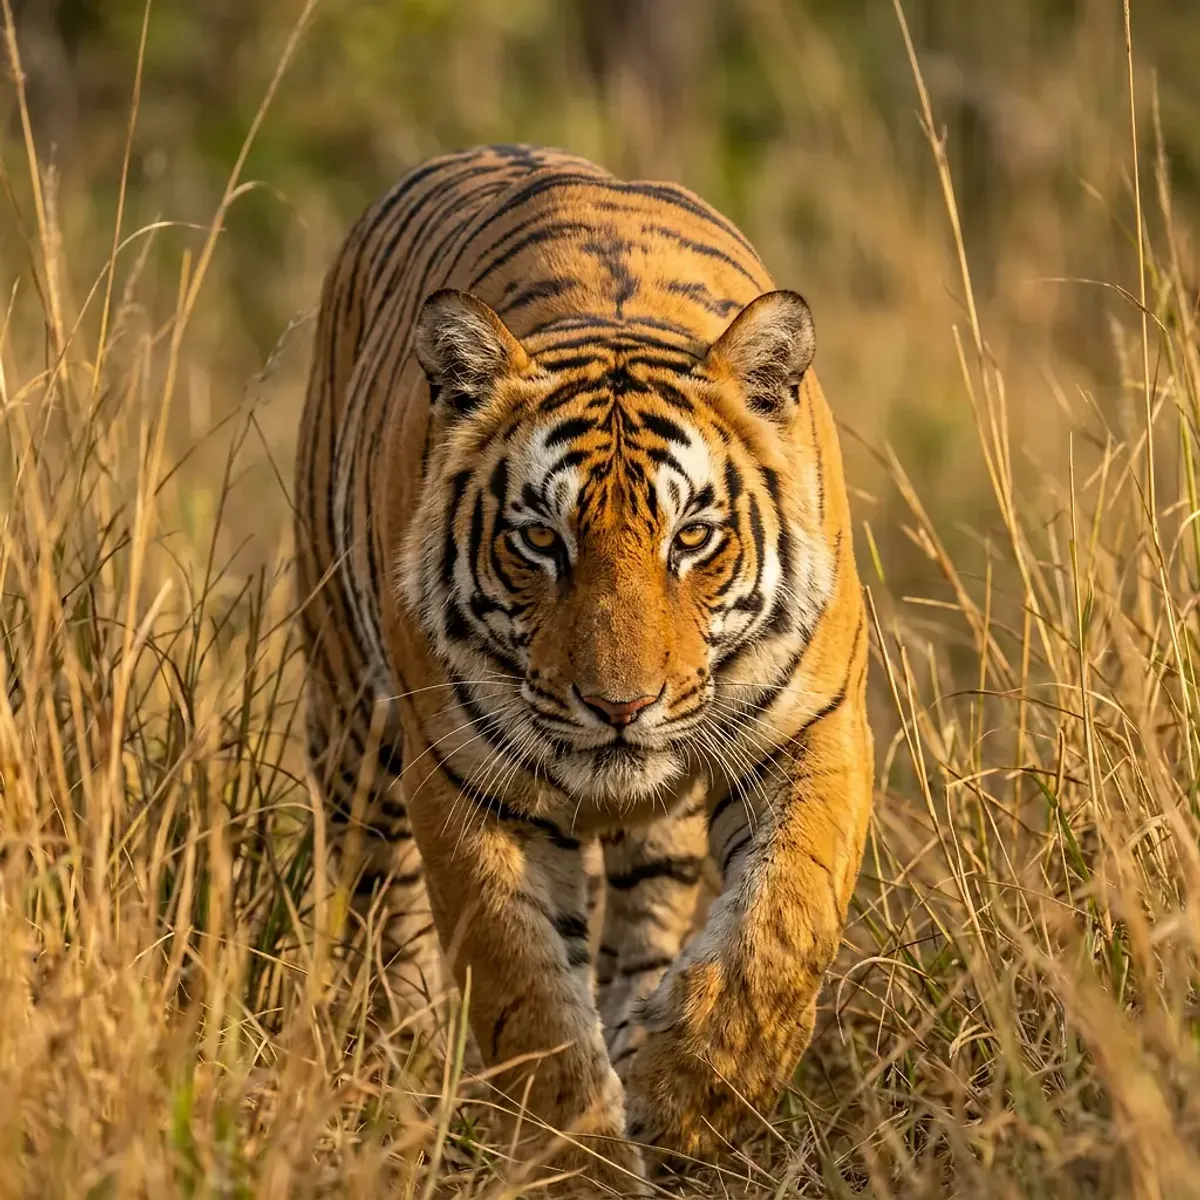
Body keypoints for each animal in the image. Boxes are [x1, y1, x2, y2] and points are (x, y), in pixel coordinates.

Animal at [294, 143, 873, 1190]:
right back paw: (407, 1062)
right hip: (354, 726)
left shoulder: (816, 728)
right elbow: (526, 991)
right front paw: (581, 1164)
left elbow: (780, 923)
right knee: (381, 908)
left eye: (693, 538)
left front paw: (693, 1094)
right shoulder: (466, 777)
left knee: (645, 921)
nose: (619, 706)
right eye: (540, 540)